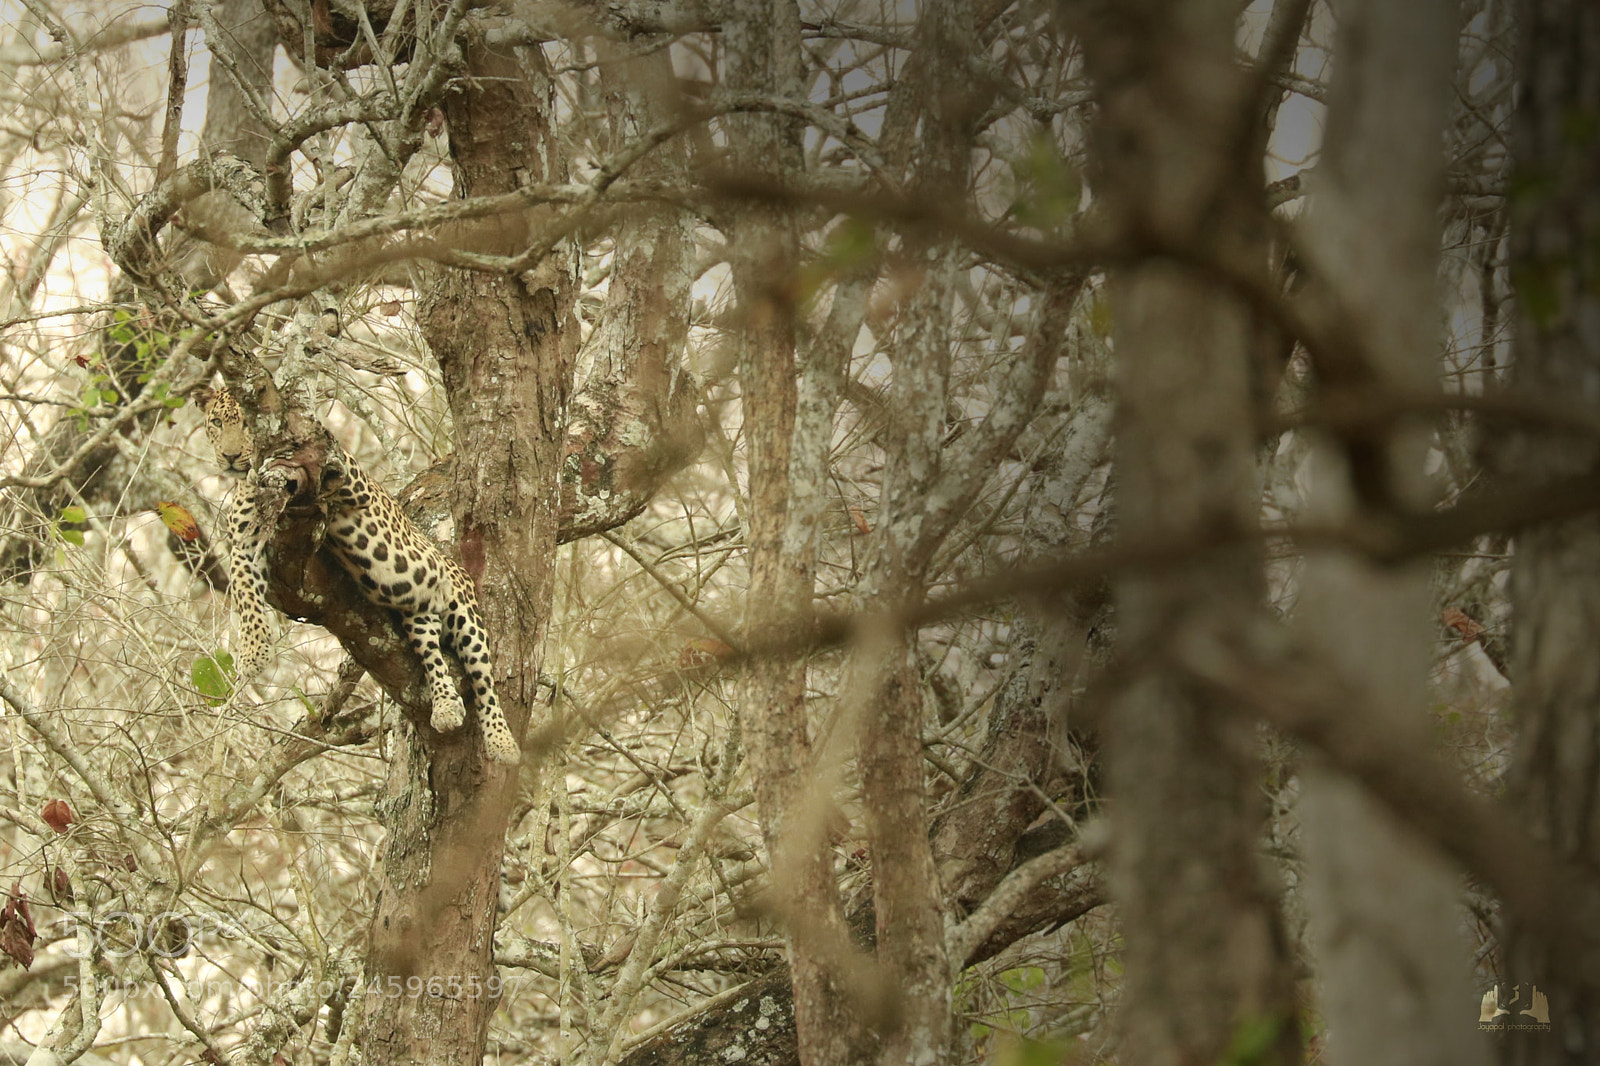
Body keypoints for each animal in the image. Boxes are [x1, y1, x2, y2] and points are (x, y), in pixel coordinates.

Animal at [199, 387, 521, 765]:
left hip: (463, 611)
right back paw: (445, 706)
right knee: (433, 657)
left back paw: (502, 742)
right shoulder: (245, 543)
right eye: (216, 422)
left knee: (485, 681)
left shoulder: (349, 479)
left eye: (248, 423)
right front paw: (253, 652)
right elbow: (244, 592)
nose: (230, 456)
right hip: (417, 615)